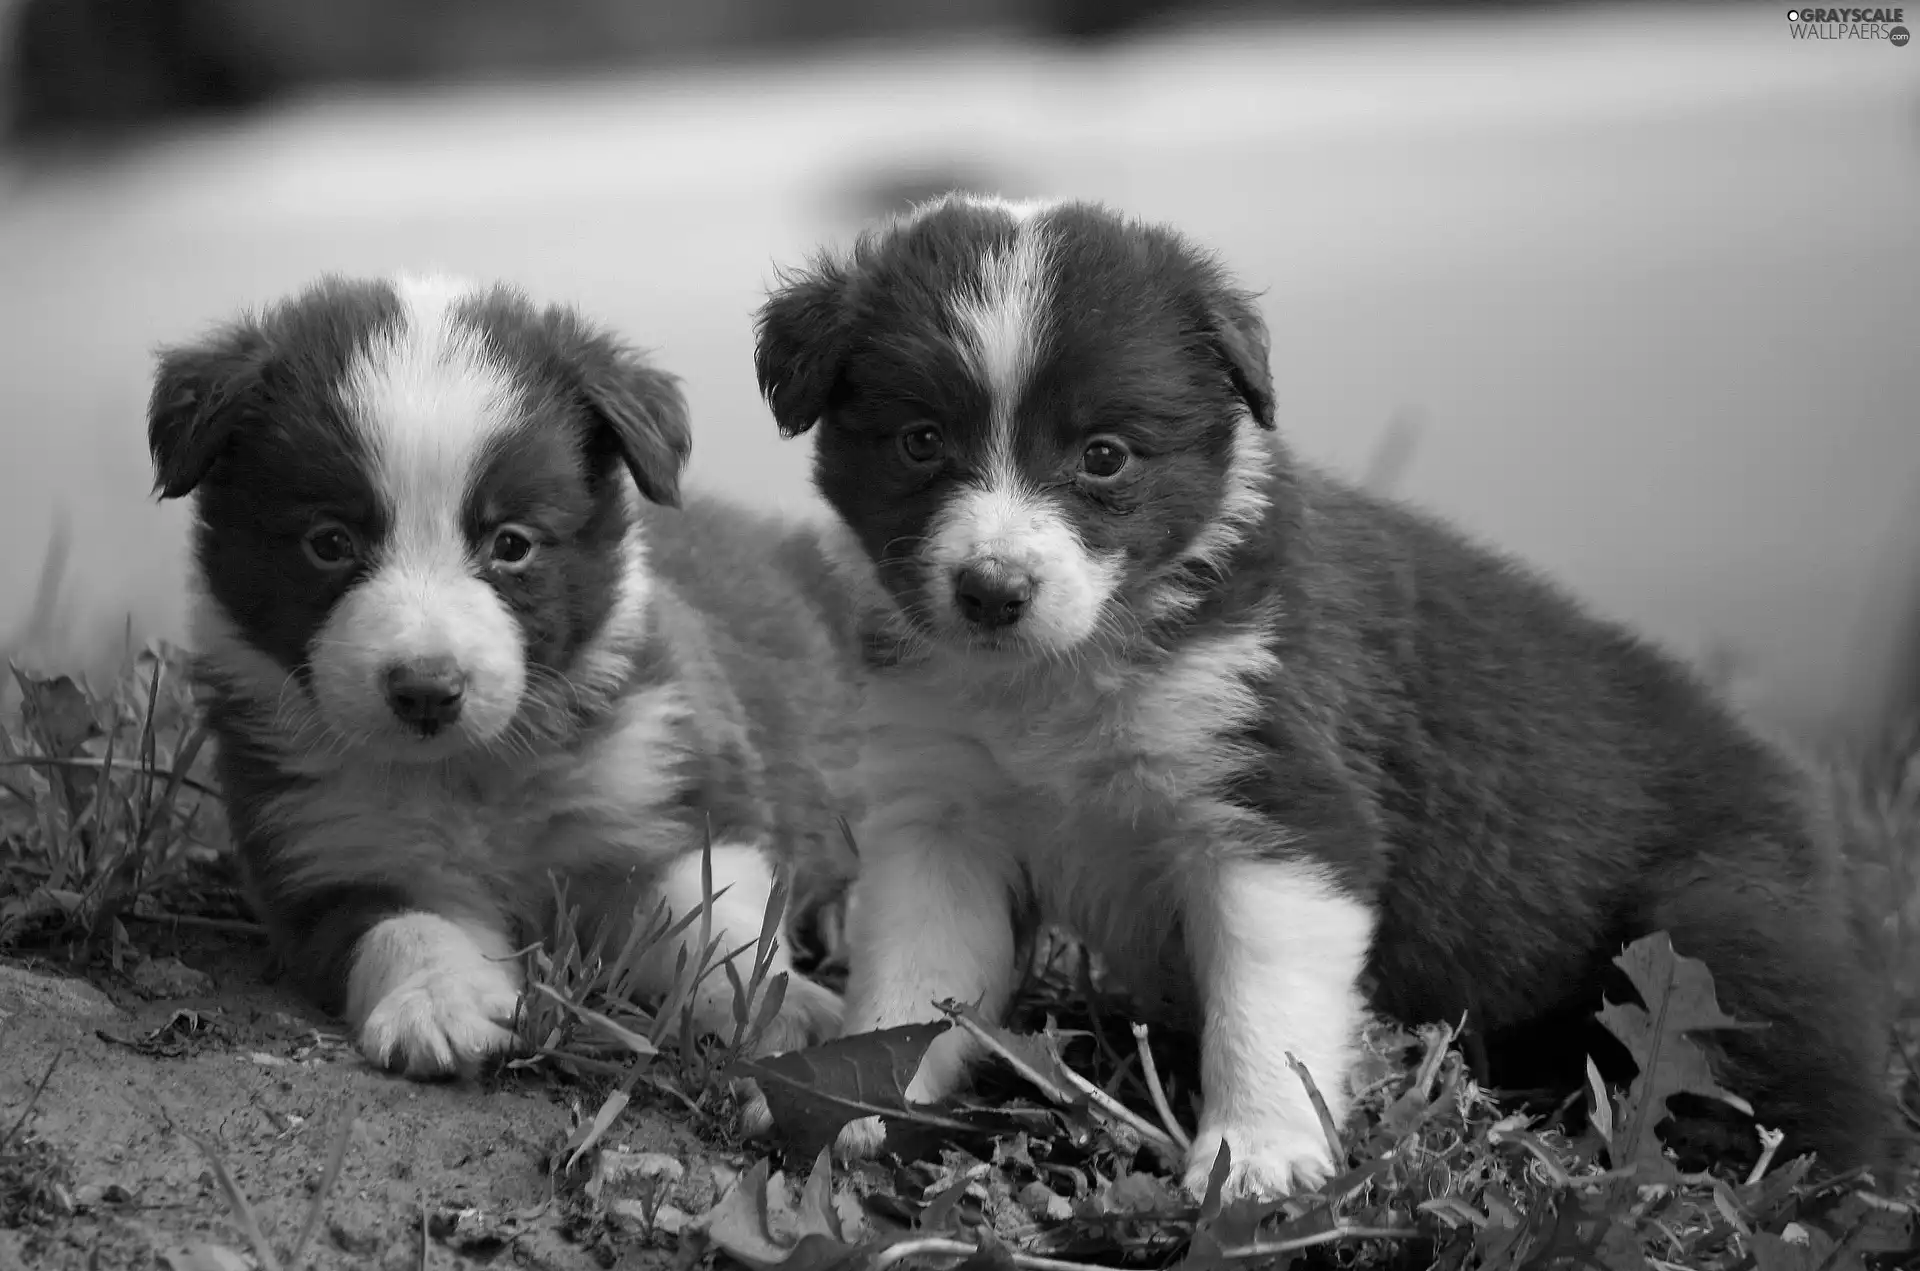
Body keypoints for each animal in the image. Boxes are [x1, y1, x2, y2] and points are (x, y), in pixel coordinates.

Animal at [149, 274, 864, 1082]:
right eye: (329, 542)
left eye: (512, 544)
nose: (427, 689)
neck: (475, 772)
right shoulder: (322, 852)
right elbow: (404, 925)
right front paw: (440, 1003)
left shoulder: (676, 776)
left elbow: (711, 911)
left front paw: (776, 1007)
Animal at [748, 199, 1889, 1205]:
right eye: (920, 441)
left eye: (1104, 455)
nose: (992, 590)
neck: (1062, 675)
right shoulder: (943, 813)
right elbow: (914, 979)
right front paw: (850, 1106)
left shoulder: (1280, 810)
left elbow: (1266, 1008)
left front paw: (1257, 1156)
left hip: (1718, 923)